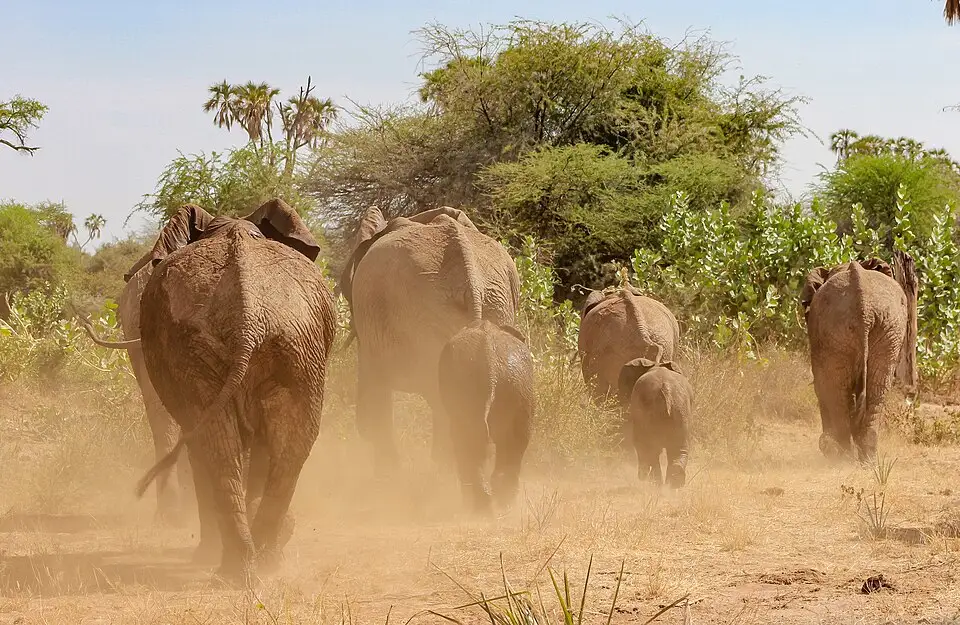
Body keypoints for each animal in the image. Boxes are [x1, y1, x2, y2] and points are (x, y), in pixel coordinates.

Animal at [130, 199, 337, 584]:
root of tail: (248, 316)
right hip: (289, 346)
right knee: (285, 441)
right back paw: (254, 565)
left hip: (286, 344)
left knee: (222, 445)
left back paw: (245, 565)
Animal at [617, 358, 693, 489]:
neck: (656, 364)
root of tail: (667, 390)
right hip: (680, 410)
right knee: (678, 448)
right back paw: (673, 485)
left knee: (649, 447)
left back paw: (656, 483)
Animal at [800, 252, 918, 463]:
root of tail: (864, 308)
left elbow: (822, 385)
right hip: (888, 328)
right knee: (877, 388)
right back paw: (865, 457)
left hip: (841, 329)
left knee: (835, 389)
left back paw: (842, 455)